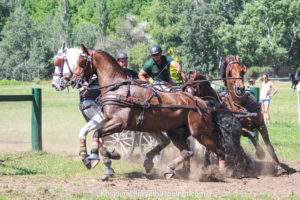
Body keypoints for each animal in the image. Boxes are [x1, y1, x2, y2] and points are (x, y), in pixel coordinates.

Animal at [69, 44, 244, 179]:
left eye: (81, 60)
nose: (73, 81)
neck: (118, 87)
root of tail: (201, 102)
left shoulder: (120, 123)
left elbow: (97, 134)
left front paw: (98, 157)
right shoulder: (107, 118)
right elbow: (90, 132)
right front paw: (92, 157)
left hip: (199, 132)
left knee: (219, 151)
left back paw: (219, 173)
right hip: (175, 132)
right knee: (187, 151)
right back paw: (170, 169)